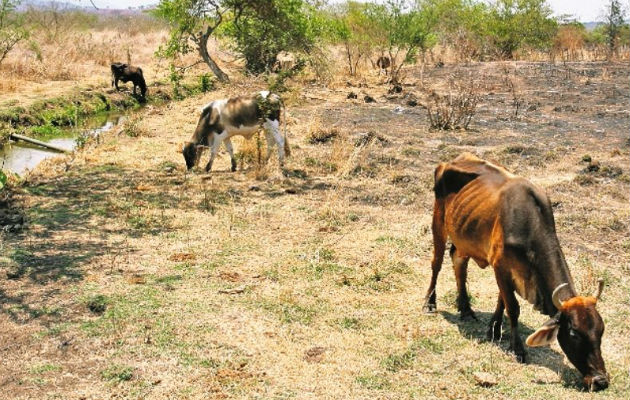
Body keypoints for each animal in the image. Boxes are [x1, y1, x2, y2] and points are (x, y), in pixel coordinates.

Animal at [424, 153, 612, 390]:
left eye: (601, 330)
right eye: (573, 333)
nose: (600, 380)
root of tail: (451, 160)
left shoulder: (509, 271)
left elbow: (502, 301)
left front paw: (494, 329)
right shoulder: (500, 265)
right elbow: (512, 307)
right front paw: (518, 348)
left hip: (464, 237)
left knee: (459, 263)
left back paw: (466, 309)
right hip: (438, 222)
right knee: (436, 263)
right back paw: (430, 303)